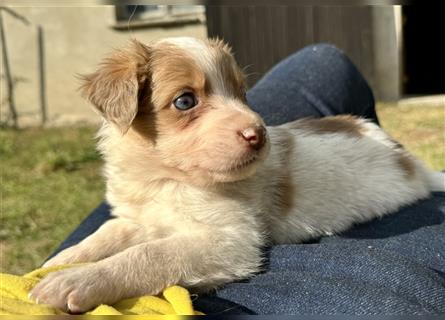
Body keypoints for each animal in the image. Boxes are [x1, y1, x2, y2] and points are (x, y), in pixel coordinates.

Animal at [29, 37, 442, 312]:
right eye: (185, 101)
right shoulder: (137, 217)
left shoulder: (228, 240)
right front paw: (55, 265)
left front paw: (75, 281)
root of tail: (410, 160)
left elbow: (150, 254)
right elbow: (102, 236)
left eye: (242, 93)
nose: (258, 134)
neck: (166, 179)